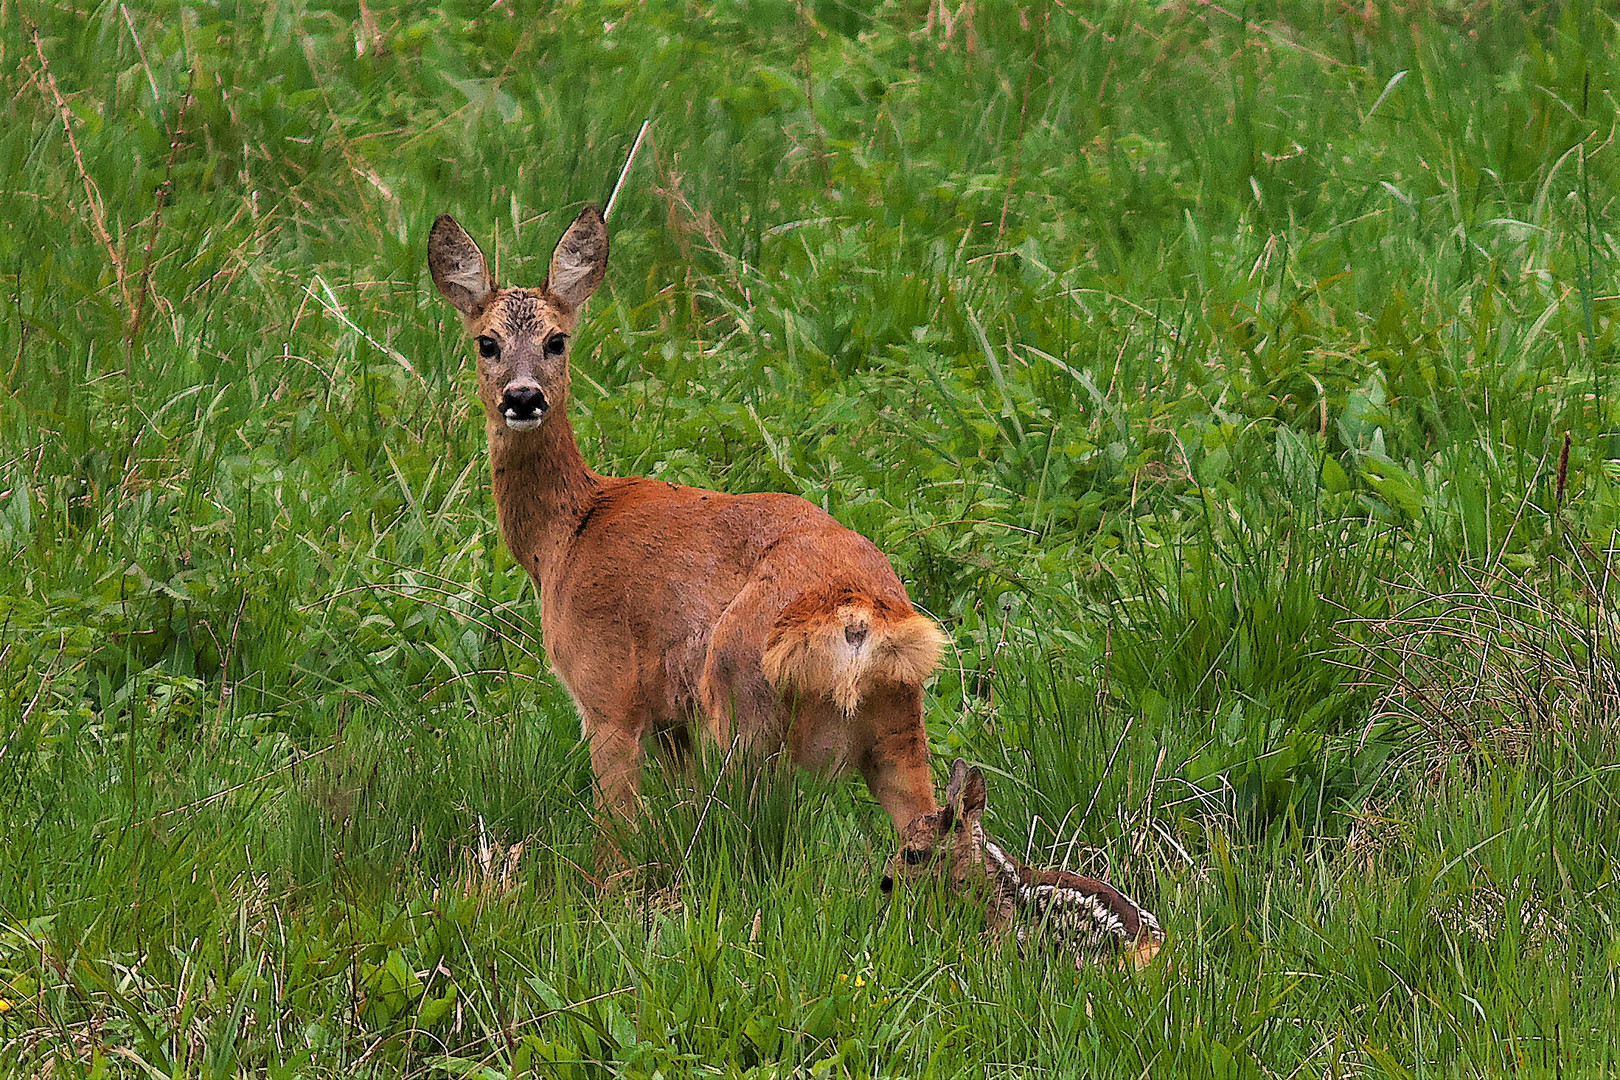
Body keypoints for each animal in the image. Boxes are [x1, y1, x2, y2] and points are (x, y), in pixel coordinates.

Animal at [430, 207, 946, 841]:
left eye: (557, 340)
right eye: (487, 342)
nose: (523, 397)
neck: (565, 535)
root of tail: (856, 620)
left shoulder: (608, 690)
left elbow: (622, 827)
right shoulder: (671, 718)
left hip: (744, 703)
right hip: (898, 721)